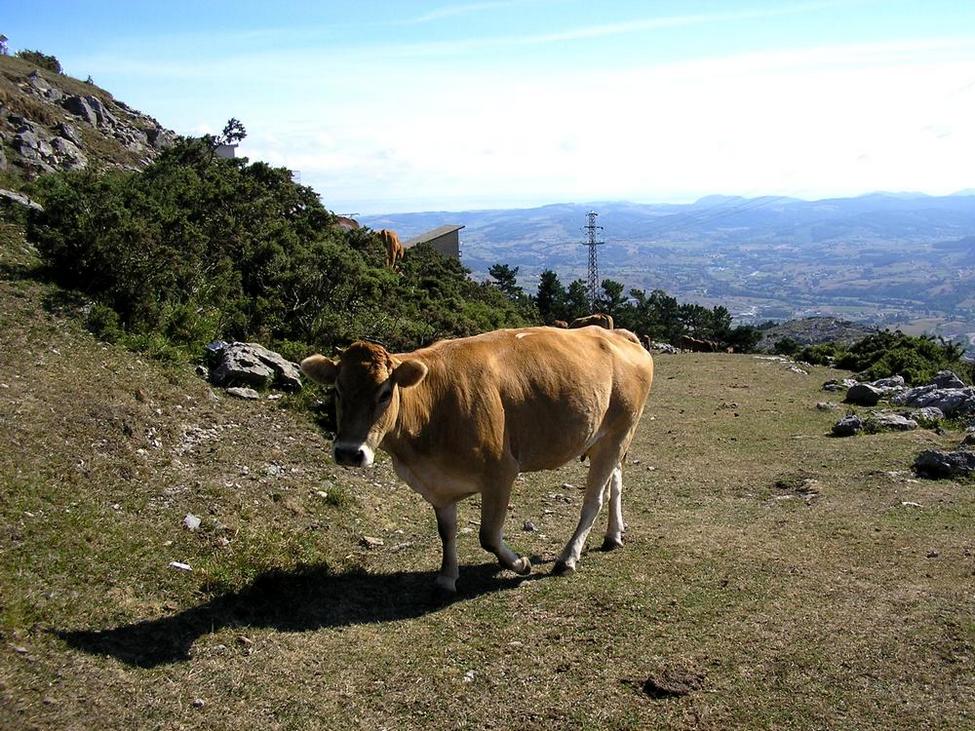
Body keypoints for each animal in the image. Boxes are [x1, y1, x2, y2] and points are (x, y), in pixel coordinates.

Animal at [304, 326, 656, 596]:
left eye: (385, 393)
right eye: (337, 390)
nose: (349, 452)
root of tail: (616, 333)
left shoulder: (501, 471)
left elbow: (488, 535)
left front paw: (519, 564)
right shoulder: (438, 484)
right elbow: (446, 531)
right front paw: (447, 577)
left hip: (620, 431)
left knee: (594, 499)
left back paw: (568, 557)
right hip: (607, 438)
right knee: (616, 482)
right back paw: (613, 535)